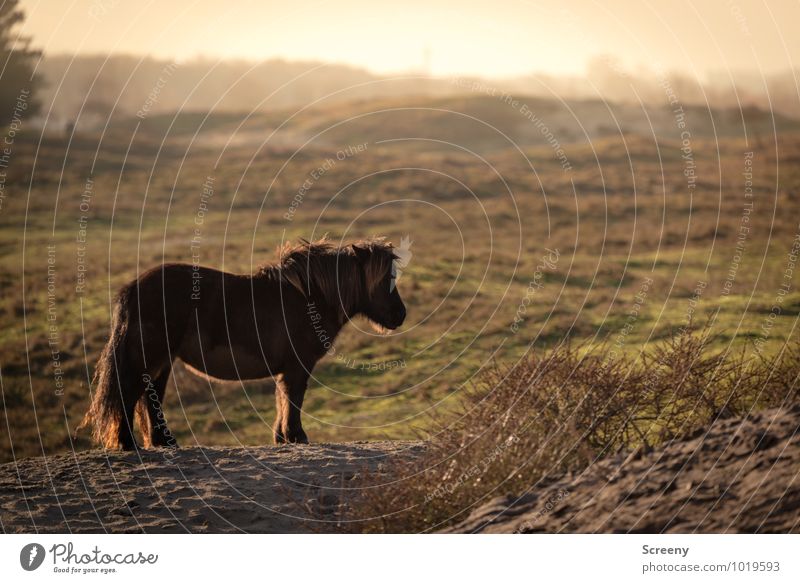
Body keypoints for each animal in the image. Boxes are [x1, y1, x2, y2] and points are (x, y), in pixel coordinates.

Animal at [78, 237, 406, 452]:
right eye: (384, 279)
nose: (400, 315)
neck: (307, 298)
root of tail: (132, 288)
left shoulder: (287, 369)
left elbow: (283, 399)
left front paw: (282, 438)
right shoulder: (297, 366)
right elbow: (294, 399)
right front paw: (296, 436)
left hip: (162, 361)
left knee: (150, 396)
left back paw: (164, 442)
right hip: (150, 357)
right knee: (130, 394)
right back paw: (128, 444)